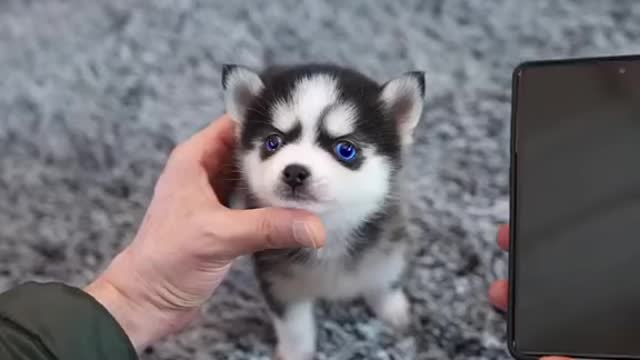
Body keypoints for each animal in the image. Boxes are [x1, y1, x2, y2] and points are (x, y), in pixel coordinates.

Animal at [221, 63, 424, 358]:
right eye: (273, 142)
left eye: (345, 149)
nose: (294, 172)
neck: (327, 228)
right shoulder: (280, 283)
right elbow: (296, 328)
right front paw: (296, 353)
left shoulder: (389, 246)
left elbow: (385, 281)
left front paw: (394, 312)